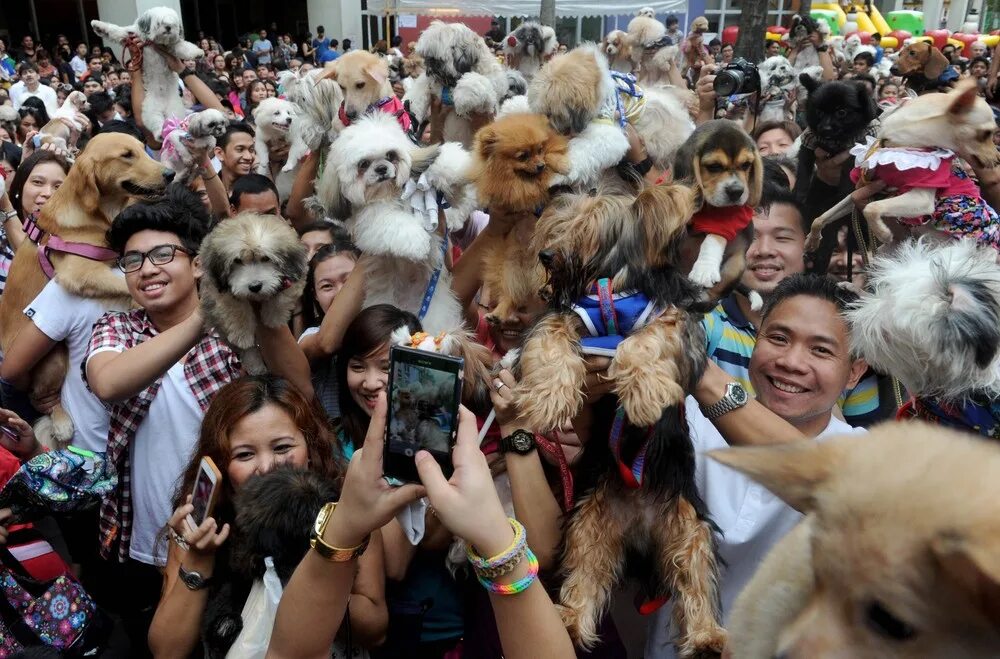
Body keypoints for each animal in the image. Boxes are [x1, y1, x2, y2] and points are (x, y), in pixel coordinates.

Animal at [0, 131, 170, 446]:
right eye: (126, 155)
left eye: (142, 149)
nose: (170, 173)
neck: (96, 215)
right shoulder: (79, 271)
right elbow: (124, 284)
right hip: (53, 357)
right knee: (42, 396)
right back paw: (62, 423)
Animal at [92, 7, 203, 142]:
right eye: (160, 23)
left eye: (173, 24)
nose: (168, 28)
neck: (154, 42)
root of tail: (164, 106)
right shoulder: (130, 35)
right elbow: (114, 30)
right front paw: (98, 26)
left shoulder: (173, 46)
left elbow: (185, 47)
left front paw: (198, 53)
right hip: (151, 110)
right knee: (156, 122)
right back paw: (160, 134)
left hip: (174, 110)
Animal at [196, 214, 302, 374]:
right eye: (237, 261)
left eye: (266, 258)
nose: (255, 286)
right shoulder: (218, 288)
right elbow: (235, 308)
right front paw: (242, 334)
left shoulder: (294, 278)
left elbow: (282, 298)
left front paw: (273, 317)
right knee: (248, 351)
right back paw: (256, 365)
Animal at [316, 111, 480, 336]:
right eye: (363, 164)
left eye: (391, 155)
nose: (381, 169)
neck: (392, 194)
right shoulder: (370, 219)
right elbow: (393, 223)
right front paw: (419, 243)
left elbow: (444, 172)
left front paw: (458, 165)